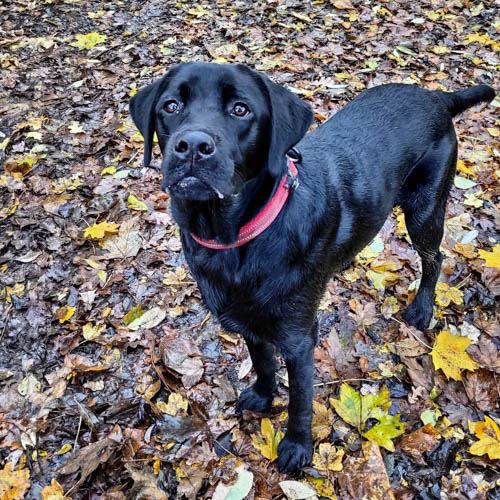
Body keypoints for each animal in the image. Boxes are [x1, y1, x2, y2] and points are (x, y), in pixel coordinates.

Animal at [129, 64, 492, 474]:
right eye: (171, 105)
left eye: (241, 110)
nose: (192, 145)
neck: (234, 240)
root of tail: (436, 96)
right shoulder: (248, 320)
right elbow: (262, 363)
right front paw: (262, 396)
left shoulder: (299, 338)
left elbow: (300, 400)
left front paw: (297, 447)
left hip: (424, 210)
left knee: (435, 258)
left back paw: (422, 308)